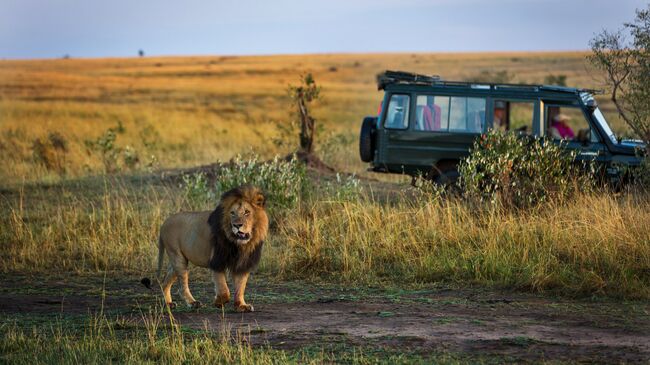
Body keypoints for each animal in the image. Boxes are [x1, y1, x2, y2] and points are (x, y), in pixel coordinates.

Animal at [153, 183, 268, 312]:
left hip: (176, 260)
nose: (237, 225)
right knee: (182, 286)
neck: (241, 244)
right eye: (232, 213)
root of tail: (164, 223)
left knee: (165, 282)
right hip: (177, 257)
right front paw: (219, 302)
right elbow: (224, 289)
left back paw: (168, 304)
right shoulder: (217, 261)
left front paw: (241, 305)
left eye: (247, 212)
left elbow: (240, 287)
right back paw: (193, 303)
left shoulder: (243, 263)